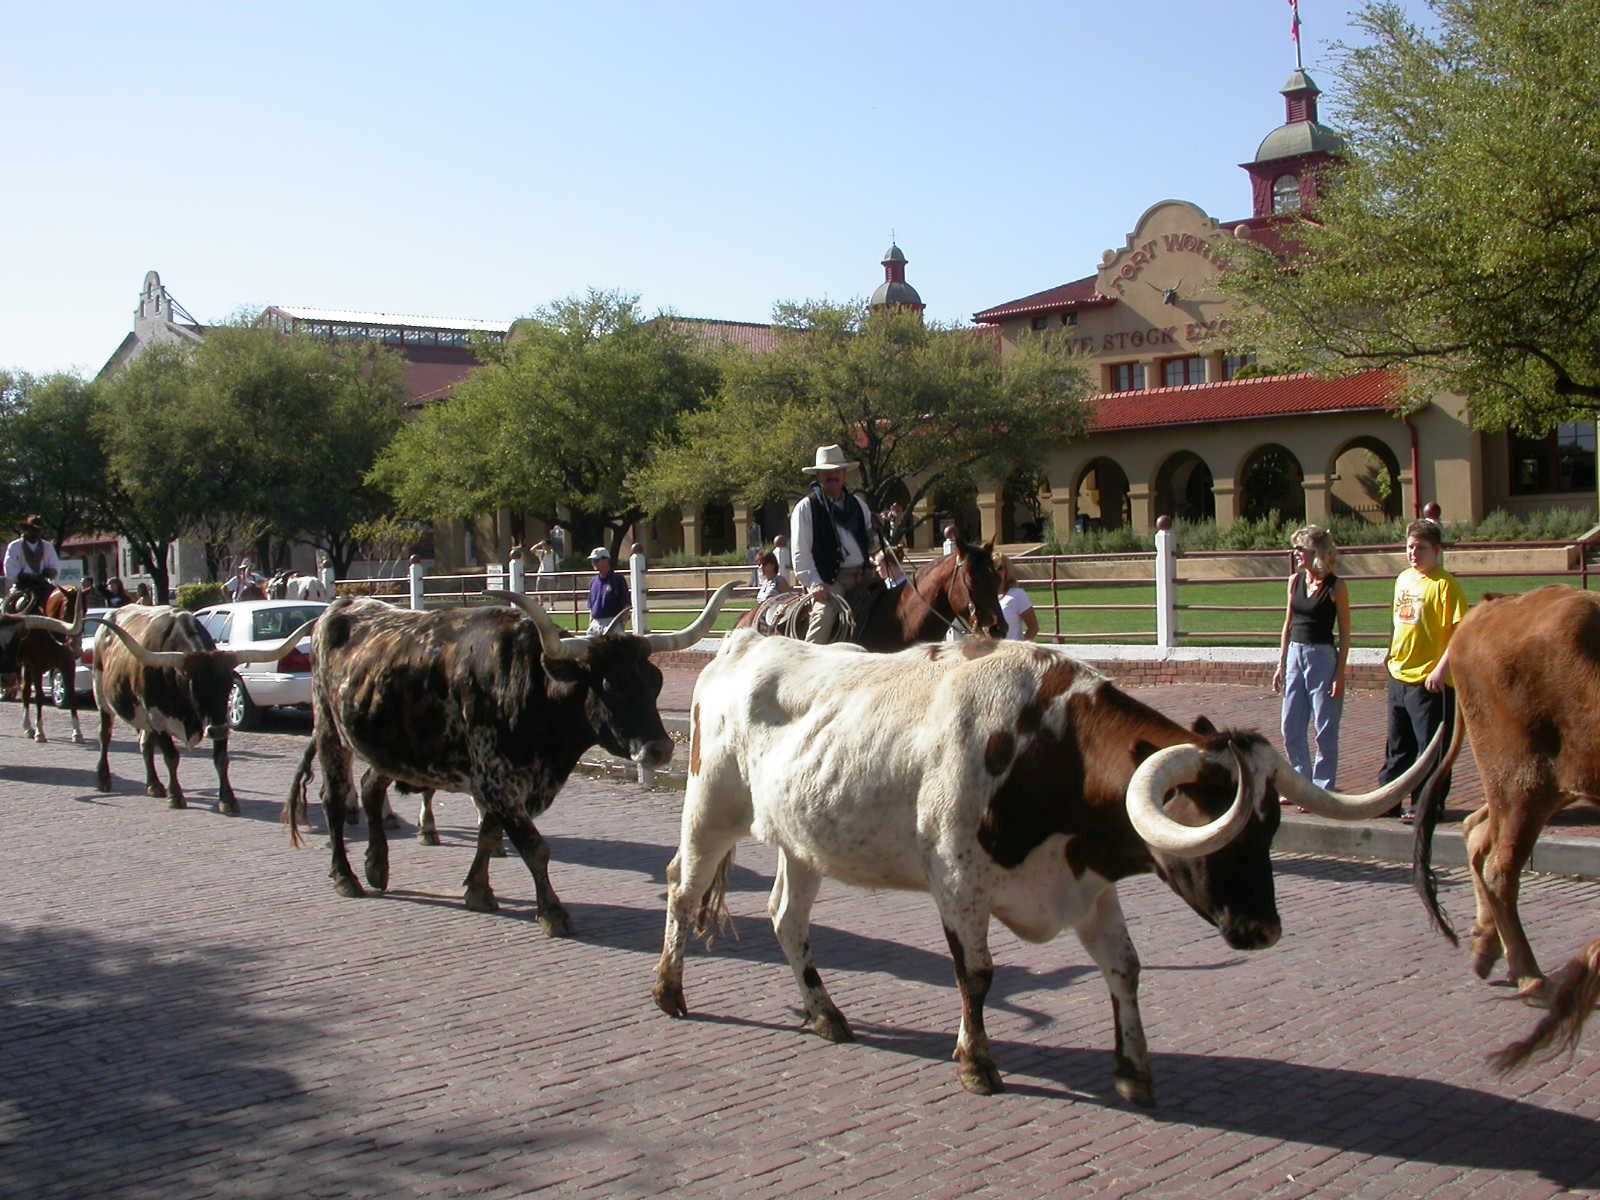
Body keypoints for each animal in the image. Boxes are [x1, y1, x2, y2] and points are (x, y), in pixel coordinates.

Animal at [14, 586, 87, 743]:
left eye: (85, 610)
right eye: (67, 608)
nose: (75, 647)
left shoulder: (68, 666)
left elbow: (72, 695)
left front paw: (77, 733)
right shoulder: (36, 667)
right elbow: (39, 697)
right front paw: (40, 732)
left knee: (25, 690)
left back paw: (28, 728)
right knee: (26, 691)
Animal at [94, 604, 318, 812]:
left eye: (229, 686)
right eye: (193, 686)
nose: (216, 730)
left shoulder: (220, 719)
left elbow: (221, 760)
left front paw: (227, 800)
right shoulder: (157, 718)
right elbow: (171, 757)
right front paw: (176, 796)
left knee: (145, 744)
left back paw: (154, 785)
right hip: (102, 697)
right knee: (105, 735)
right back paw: (103, 779)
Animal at [285, 583, 736, 935]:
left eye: (655, 681)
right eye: (609, 684)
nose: (659, 750)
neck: (531, 684)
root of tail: (340, 606)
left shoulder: (497, 782)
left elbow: (489, 834)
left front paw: (478, 891)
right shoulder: (495, 779)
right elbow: (534, 847)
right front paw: (552, 912)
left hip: (390, 747)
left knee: (370, 788)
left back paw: (377, 867)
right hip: (329, 729)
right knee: (334, 799)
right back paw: (346, 876)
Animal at [654, 633, 1442, 1101]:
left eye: (1271, 827)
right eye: (1213, 826)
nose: (1263, 929)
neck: (1048, 749)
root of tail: (746, 641)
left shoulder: (1088, 889)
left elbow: (1125, 969)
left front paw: (1134, 1071)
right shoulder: (957, 882)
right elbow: (976, 976)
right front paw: (977, 1062)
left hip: (803, 840)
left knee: (787, 920)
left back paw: (826, 1013)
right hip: (710, 809)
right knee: (681, 890)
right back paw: (669, 991)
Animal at [1411, 585, 1600, 1002]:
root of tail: (1493, 605)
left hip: (1538, 787)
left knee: (1477, 833)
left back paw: (1486, 945)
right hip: (1521, 784)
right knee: (1500, 867)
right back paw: (1528, 973)